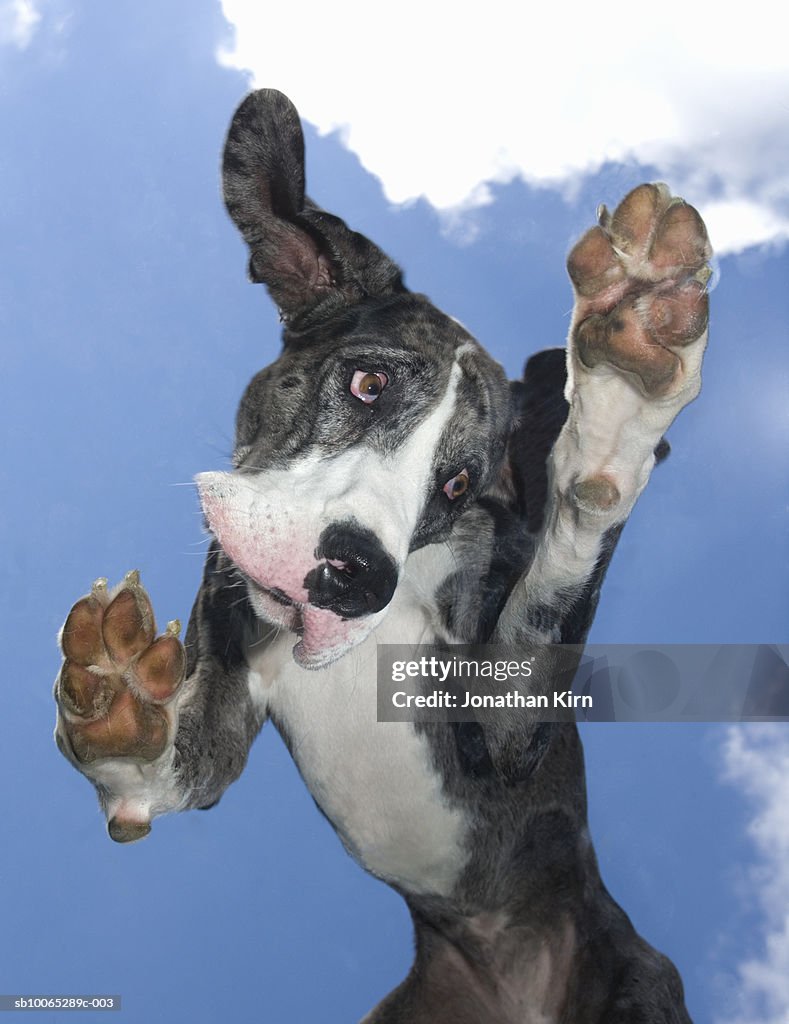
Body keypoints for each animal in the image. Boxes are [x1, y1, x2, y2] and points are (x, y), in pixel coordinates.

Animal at [53, 92, 708, 1019]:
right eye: (369, 384)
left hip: (637, 979)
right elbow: (163, 776)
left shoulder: (505, 730)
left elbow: (571, 544)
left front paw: (628, 368)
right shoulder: (217, 725)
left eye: (459, 485)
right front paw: (118, 702)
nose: (358, 572)